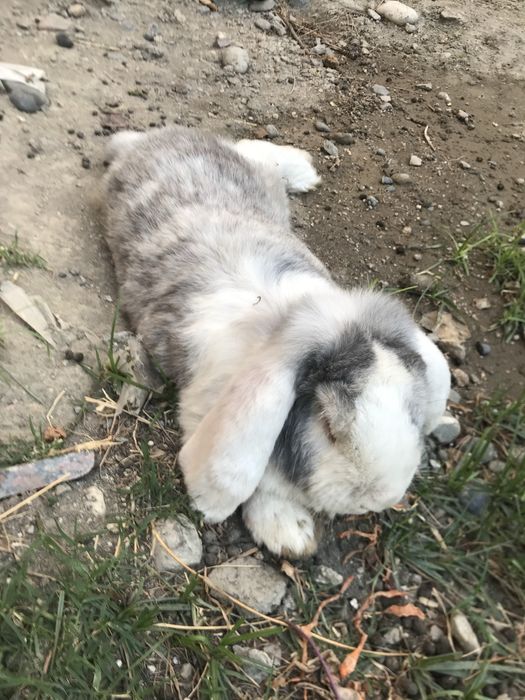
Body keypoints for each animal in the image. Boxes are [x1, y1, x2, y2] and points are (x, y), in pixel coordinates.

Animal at [100, 125, 450, 558]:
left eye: (414, 413)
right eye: (328, 426)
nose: (375, 498)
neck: (287, 319)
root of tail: (147, 141)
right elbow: (251, 481)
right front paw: (288, 533)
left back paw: (303, 172)